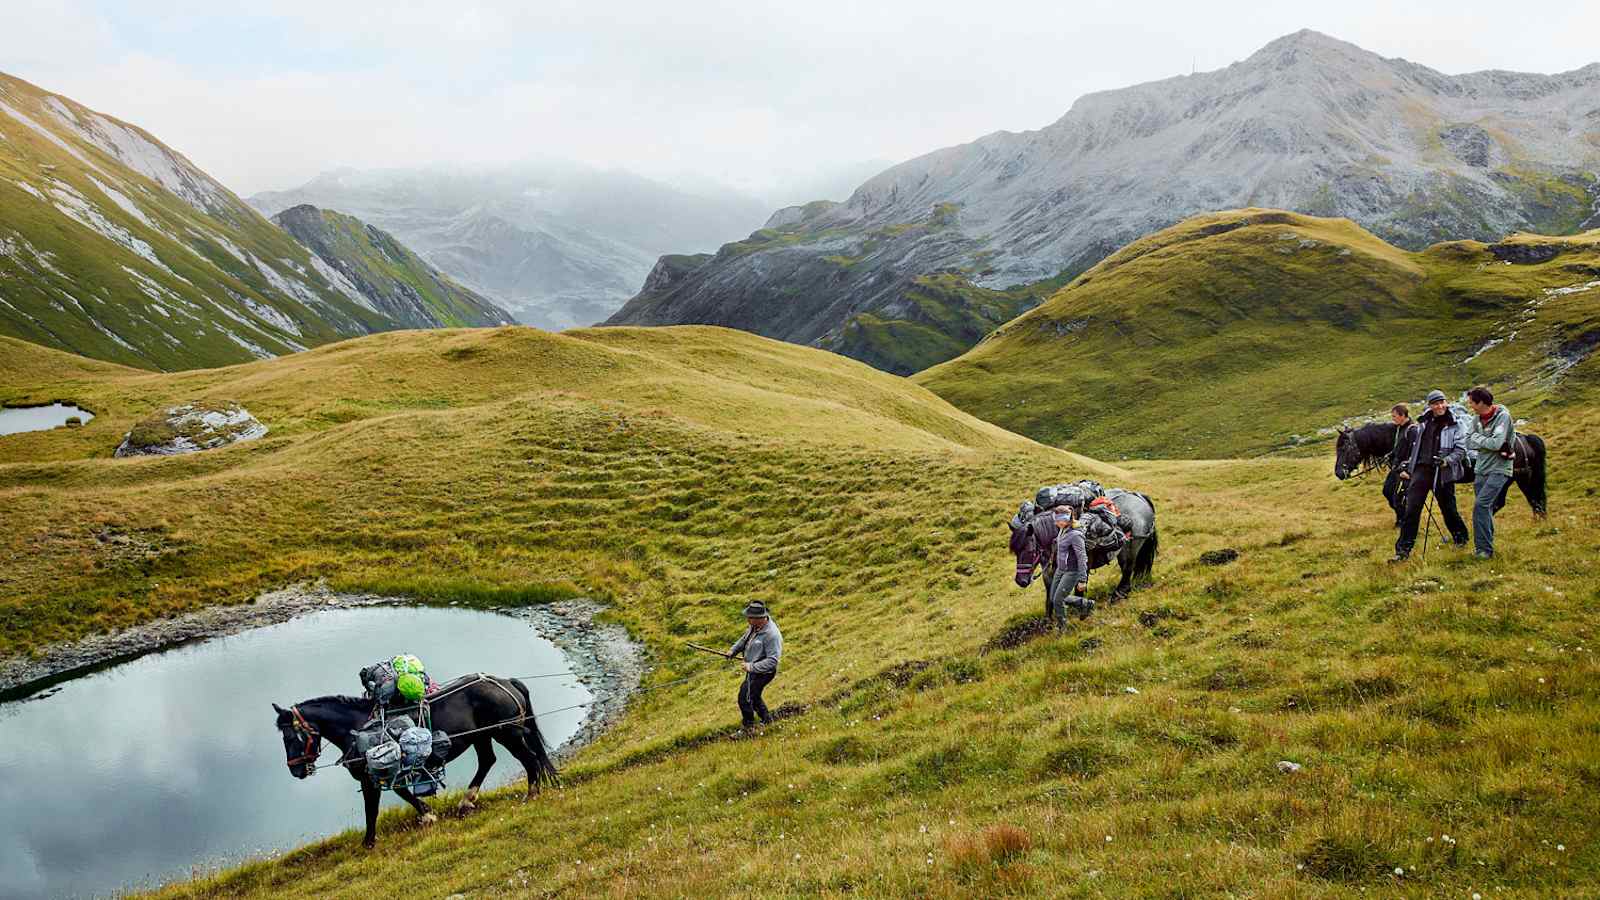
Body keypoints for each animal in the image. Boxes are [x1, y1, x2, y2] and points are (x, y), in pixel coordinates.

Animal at [270, 669, 556, 845]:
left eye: (290, 737)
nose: (296, 770)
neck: (358, 726)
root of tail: (506, 682)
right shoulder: (383, 773)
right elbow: (398, 795)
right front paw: (425, 815)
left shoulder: (373, 775)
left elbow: (375, 807)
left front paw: (369, 841)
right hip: (482, 736)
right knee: (488, 761)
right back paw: (466, 801)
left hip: (506, 733)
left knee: (529, 759)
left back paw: (531, 794)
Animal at [1004, 483, 1158, 608]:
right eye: (1016, 551)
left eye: (1030, 550)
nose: (1021, 581)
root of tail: (1140, 497)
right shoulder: (1050, 571)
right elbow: (1050, 594)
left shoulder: (1083, 564)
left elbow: (1078, 589)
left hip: (1131, 548)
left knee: (1127, 568)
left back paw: (1118, 595)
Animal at [1337, 419, 1548, 518]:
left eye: (1344, 448)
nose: (1339, 473)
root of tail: (1524, 439)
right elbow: (1392, 495)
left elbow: (1398, 497)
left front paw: (1401, 517)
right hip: (1519, 479)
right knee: (1531, 500)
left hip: (1508, 480)